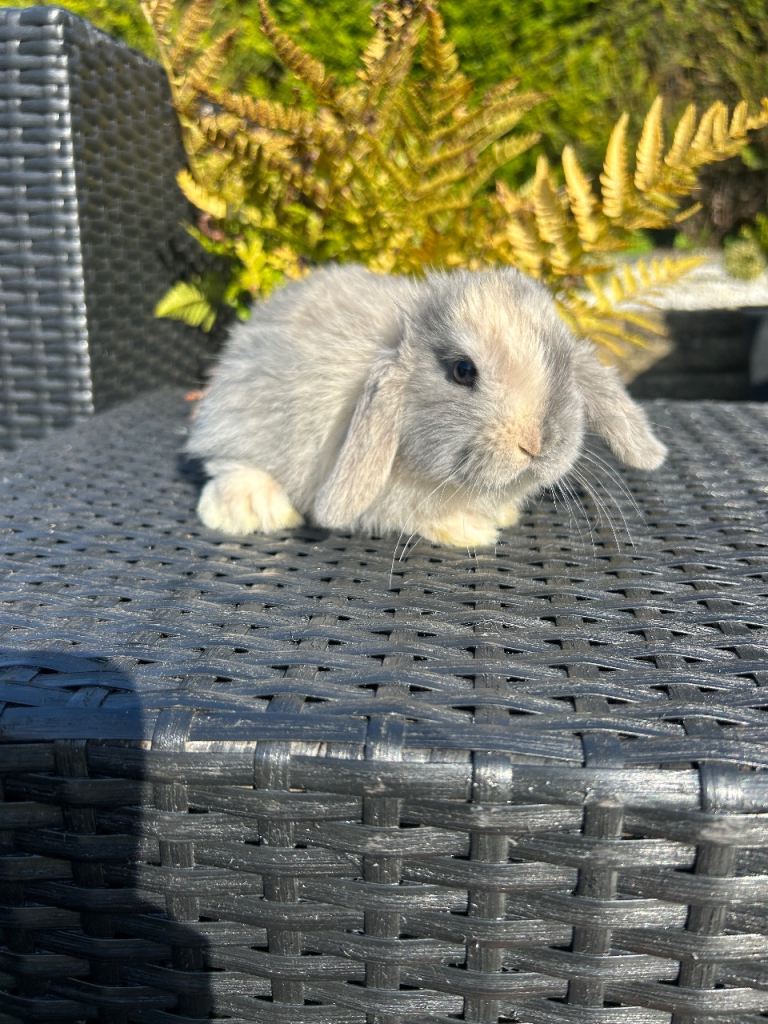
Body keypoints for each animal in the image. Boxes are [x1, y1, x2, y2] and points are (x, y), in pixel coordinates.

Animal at [186, 263, 667, 548]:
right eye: (462, 370)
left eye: (562, 364)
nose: (535, 445)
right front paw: (473, 531)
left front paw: (504, 514)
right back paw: (257, 509)